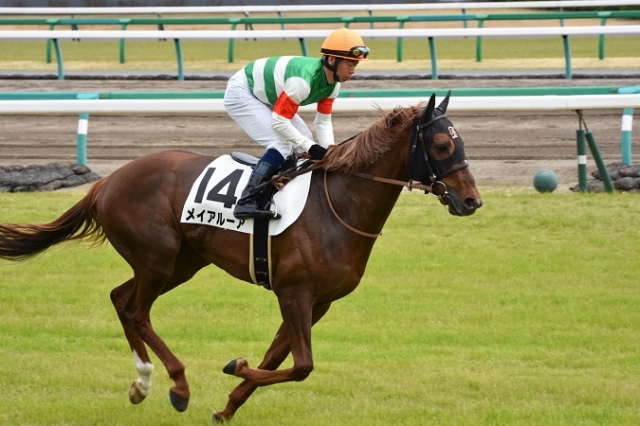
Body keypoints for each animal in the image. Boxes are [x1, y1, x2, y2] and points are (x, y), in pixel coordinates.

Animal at [0, 92, 482, 423]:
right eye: (442, 145)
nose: (471, 201)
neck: (338, 206)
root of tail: (107, 180)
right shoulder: (294, 292)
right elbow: (301, 366)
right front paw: (236, 366)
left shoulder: (318, 301)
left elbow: (277, 359)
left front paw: (228, 405)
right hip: (158, 259)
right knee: (136, 310)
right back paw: (177, 384)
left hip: (182, 262)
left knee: (121, 299)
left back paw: (142, 382)